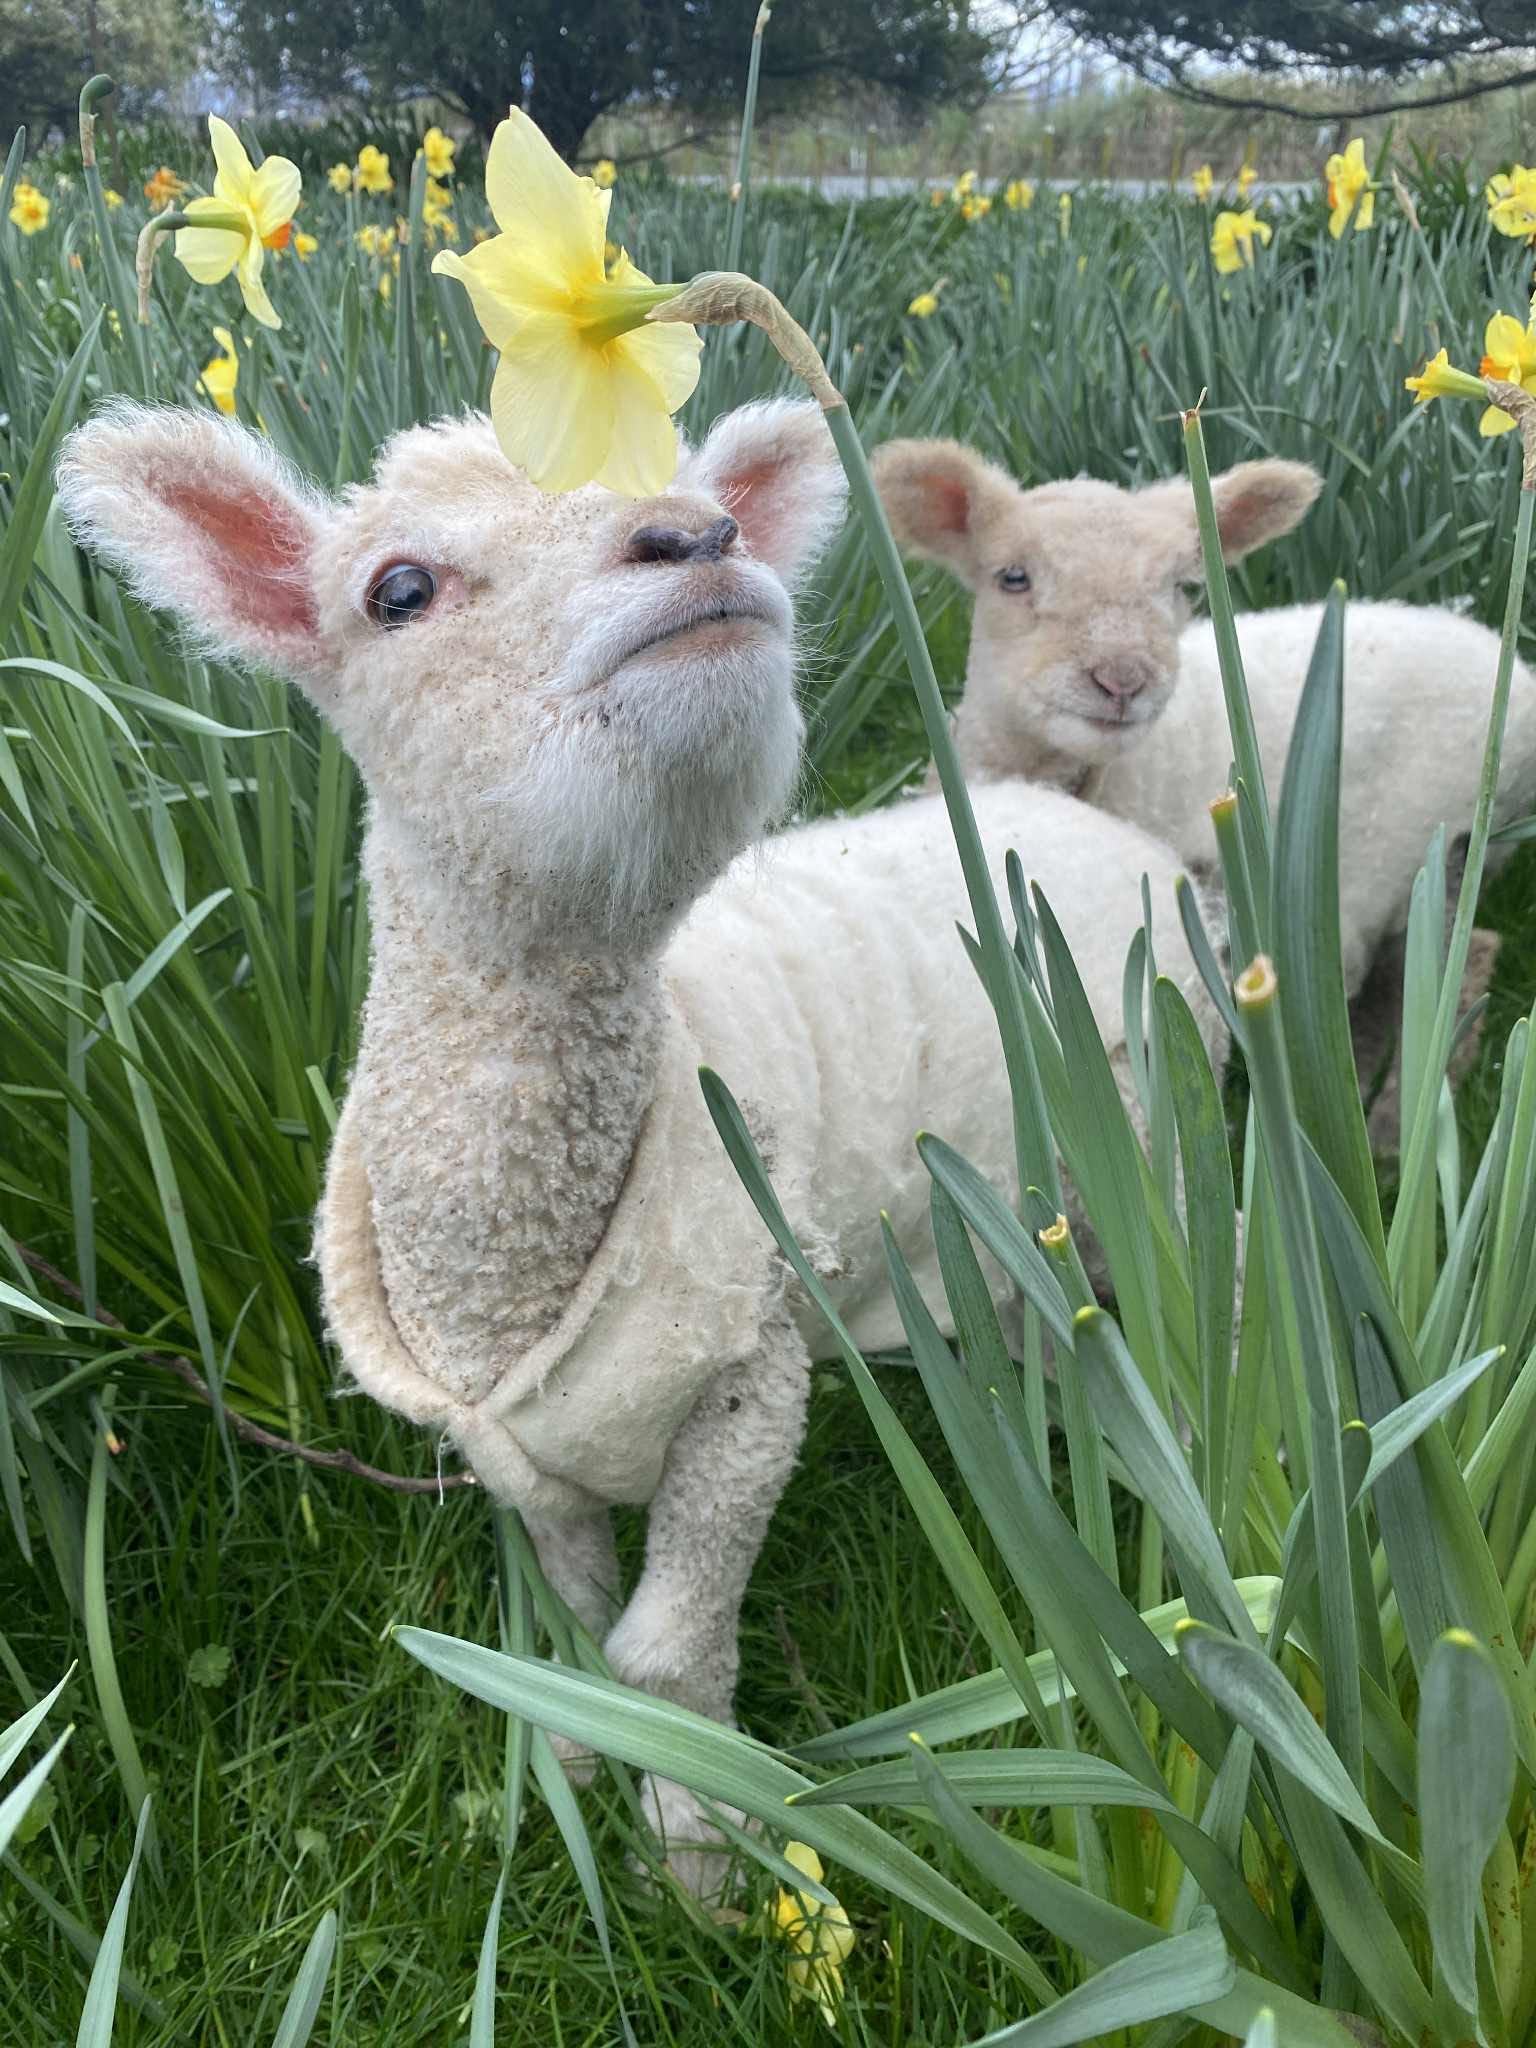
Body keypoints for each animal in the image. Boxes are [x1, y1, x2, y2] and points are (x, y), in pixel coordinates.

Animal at [59, 398, 1226, 1893]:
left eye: (687, 495)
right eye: (397, 590)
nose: (698, 537)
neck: (511, 1263)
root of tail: (1088, 818)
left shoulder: (747, 1375)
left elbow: (664, 1651)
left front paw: (700, 1858)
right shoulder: (511, 1446)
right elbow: (569, 1623)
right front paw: (563, 1768)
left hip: (1164, 1123)